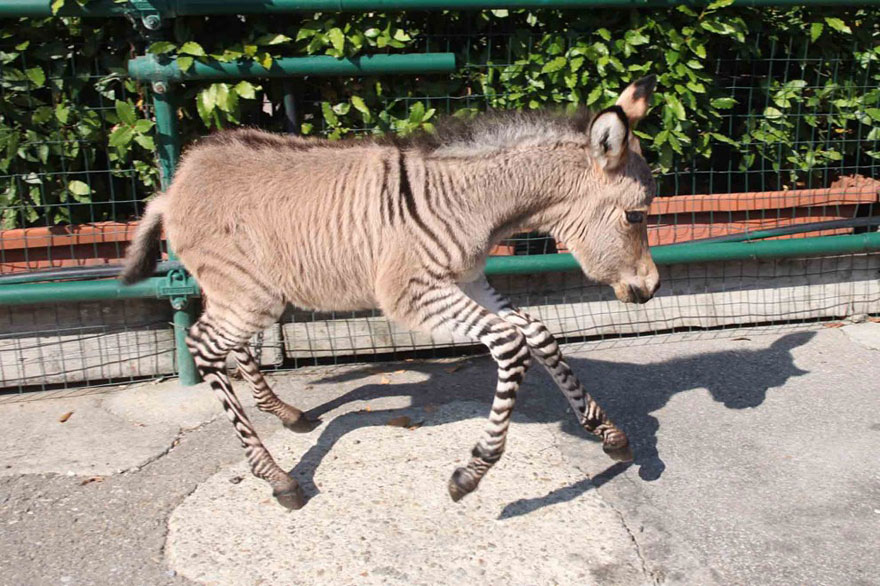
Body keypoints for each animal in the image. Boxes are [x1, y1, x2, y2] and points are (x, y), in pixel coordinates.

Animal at [121, 75, 660, 510]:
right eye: (636, 216)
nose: (652, 288)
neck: (472, 204)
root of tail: (174, 185)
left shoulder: (467, 280)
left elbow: (541, 335)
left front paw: (608, 433)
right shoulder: (412, 294)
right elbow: (512, 344)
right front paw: (472, 473)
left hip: (246, 293)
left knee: (230, 346)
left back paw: (286, 413)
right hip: (249, 294)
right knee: (202, 345)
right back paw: (277, 478)